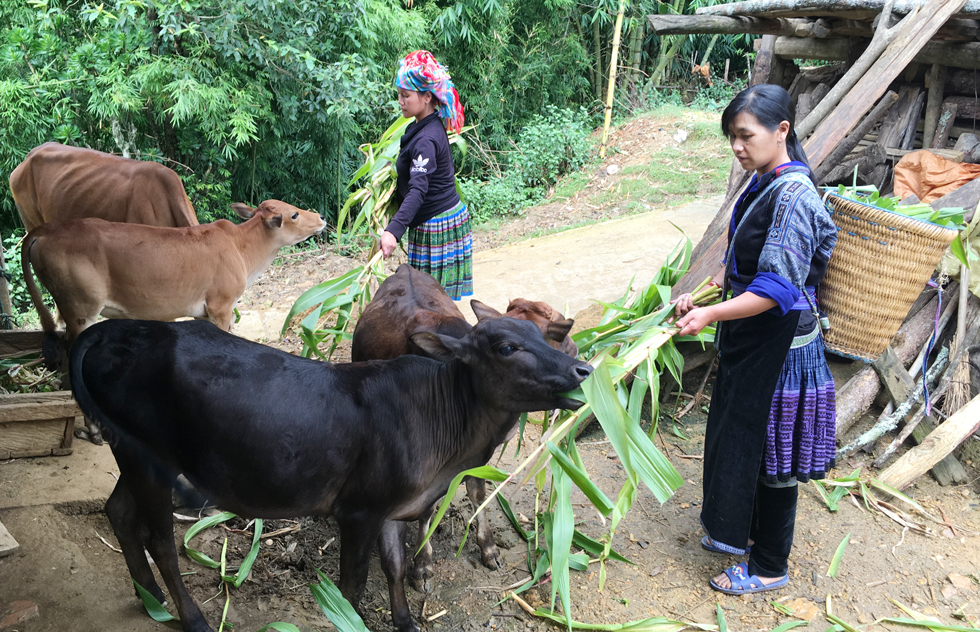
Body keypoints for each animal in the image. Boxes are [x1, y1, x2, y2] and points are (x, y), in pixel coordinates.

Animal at [71, 318, 588, 632]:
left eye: (544, 334)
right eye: (507, 347)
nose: (582, 368)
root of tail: (111, 328)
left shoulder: (393, 508)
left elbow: (395, 566)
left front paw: (406, 620)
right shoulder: (358, 510)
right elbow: (353, 584)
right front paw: (349, 618)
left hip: (131, 454)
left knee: (118, 511)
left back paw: (149, 596)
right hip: (150, 459)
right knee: (159, 540)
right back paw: (191, 616)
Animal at [352, 264, 580, 592]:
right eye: (564, 335)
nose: (582, 361)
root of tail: (405, 267)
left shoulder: (477, 452)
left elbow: (477, 492)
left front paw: (490, 549)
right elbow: (426, 510)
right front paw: (422, 566)